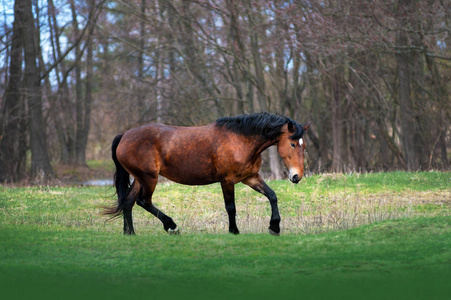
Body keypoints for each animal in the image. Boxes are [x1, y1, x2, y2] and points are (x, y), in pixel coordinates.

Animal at [105, 111, 310, 236]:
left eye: (303, 145)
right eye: (292, 144)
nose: (296, 176)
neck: (240, 140)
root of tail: (124, 136)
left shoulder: (250, 178)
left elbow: (272, 196)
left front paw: (274, 226)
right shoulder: (227, 181)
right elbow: (231, 207)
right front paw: (234, 231)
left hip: (140, 178)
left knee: (128, 202)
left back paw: (130, 233)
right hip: (149, 178)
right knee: (143, 201)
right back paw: (171, 226)